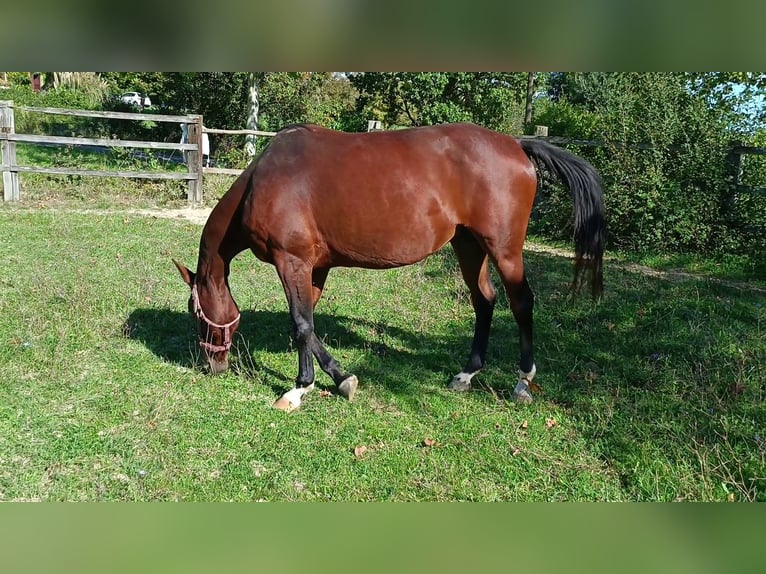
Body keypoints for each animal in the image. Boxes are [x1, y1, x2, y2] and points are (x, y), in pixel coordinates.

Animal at [174, 121, 608, 412]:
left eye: (196, 312)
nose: (213, 364)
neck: (261, 181)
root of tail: (516, 144)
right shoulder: (315, 267)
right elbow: (309, 324)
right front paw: (342, 378)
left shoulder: (291, 261)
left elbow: (300, 325)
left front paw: (298, 389)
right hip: (469, 245)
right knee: (484, 301)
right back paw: (466, 375)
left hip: (503, 250)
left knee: (521, 303)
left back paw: (522, 381)